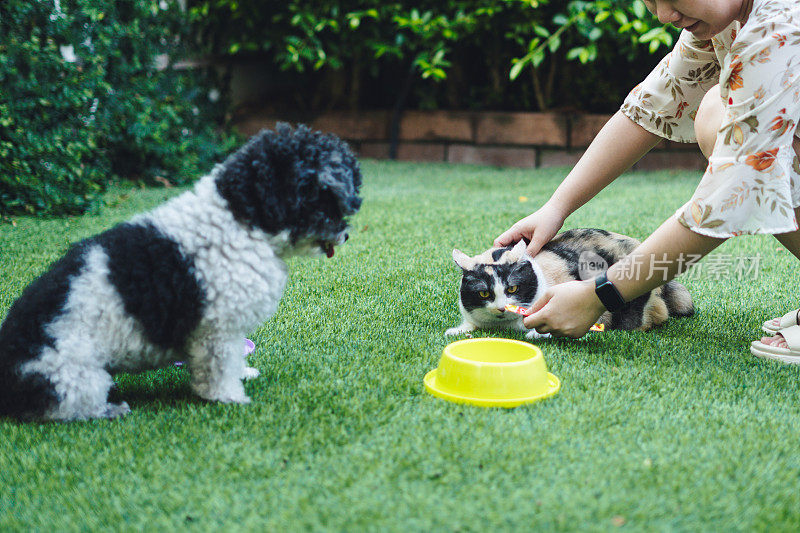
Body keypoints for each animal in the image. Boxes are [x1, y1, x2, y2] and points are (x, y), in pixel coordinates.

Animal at [0, 123, 360, 420]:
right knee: (65, 408)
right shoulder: (218, 330)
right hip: (75, 376)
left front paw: (242, 375)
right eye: (321, 192)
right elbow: (219, 367)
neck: (239, 217)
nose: (345, 234)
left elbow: (234, 359)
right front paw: (229, 397)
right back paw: (110, 410)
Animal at [446, 228, 696, 336]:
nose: (500, 308)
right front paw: (455, 332)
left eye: (512, 288)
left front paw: (534, 335)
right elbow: (470, 324)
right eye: (484, 294)